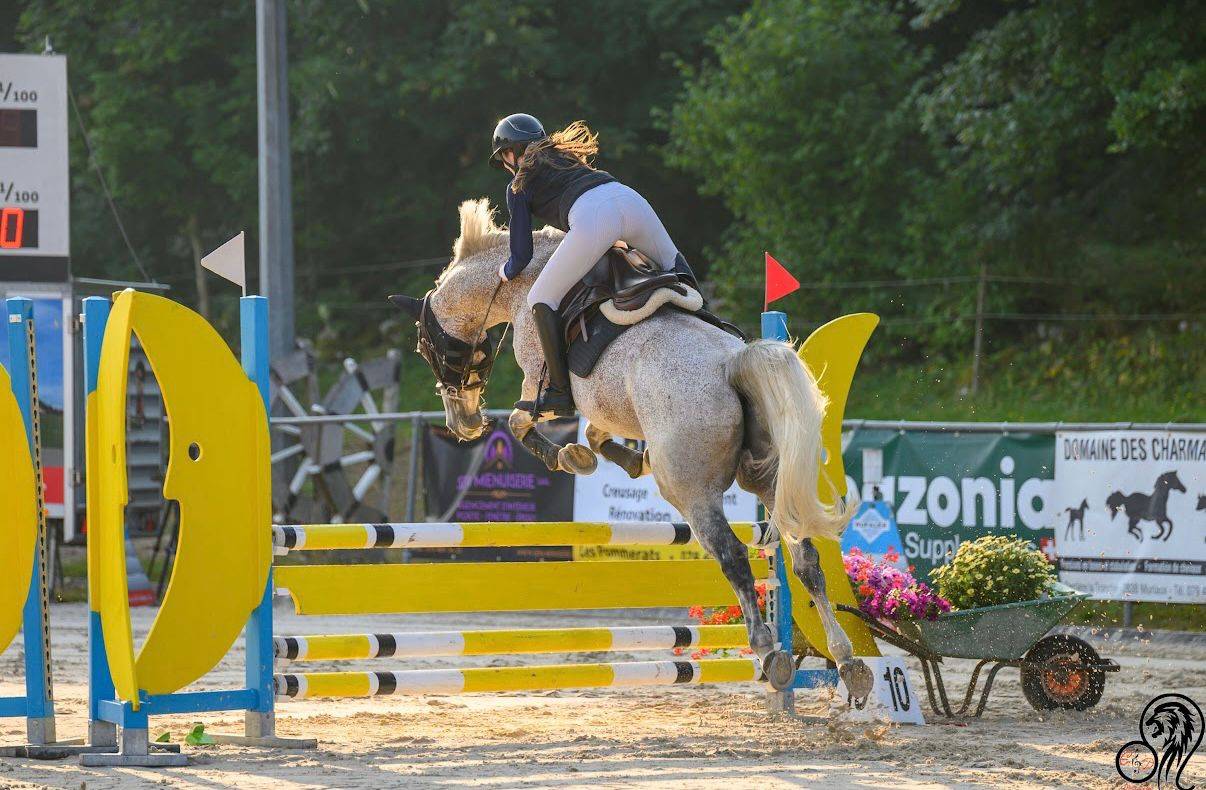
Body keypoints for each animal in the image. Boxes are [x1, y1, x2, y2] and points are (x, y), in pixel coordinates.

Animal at [390, 198, 874, 699]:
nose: (462, 424)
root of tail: (733, 361)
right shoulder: (605, 406)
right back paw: (847, 660)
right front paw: (619, 459)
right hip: (770, 478)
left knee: (734, 556)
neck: (520, 281)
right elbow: (597, 436)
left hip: (692, 491)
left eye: (425, 348)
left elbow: (524, 421)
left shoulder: (538, 383)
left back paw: (769, 652)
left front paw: (568, 457)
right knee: (807, 560)